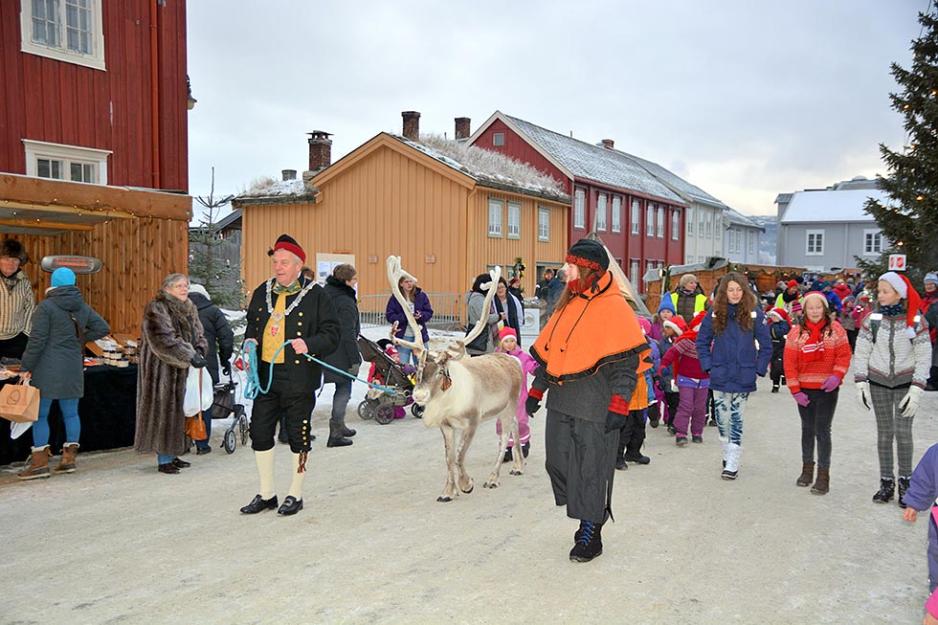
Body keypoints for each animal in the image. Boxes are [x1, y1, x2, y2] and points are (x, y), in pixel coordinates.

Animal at [387, 256, 525, 502]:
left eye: (440, 371)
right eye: (419, 368)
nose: (419, 395)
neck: (448, 399)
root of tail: (513, 360)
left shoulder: (472, 420)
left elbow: (460, 456)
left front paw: (467, 484)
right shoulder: (447, 425)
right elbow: (449, 458)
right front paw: (447, 492)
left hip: (509, 405)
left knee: (504, 438)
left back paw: (493, 478)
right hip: (503, 409)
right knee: (515, 427)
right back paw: (518, 466)